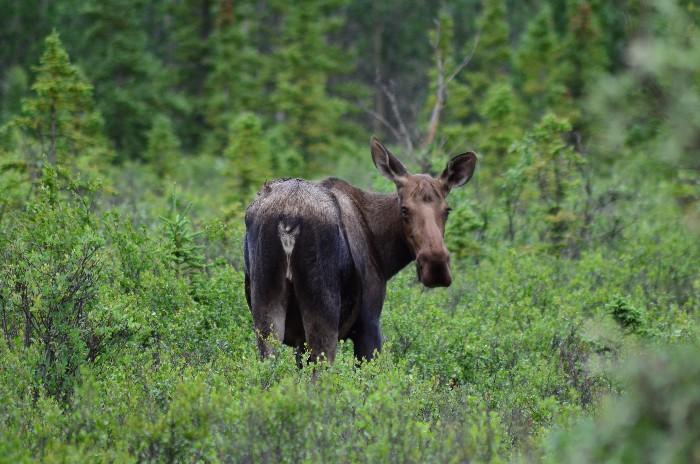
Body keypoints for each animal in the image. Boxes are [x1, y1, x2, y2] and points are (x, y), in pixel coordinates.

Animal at [243, 139, 478, 366]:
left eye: (447, 210)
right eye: (404, 209)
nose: (435, 265)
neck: (385, 255)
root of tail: (288, 221)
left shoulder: (299, 340)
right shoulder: (369, 322)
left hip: (266, 309)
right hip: (324, 309)